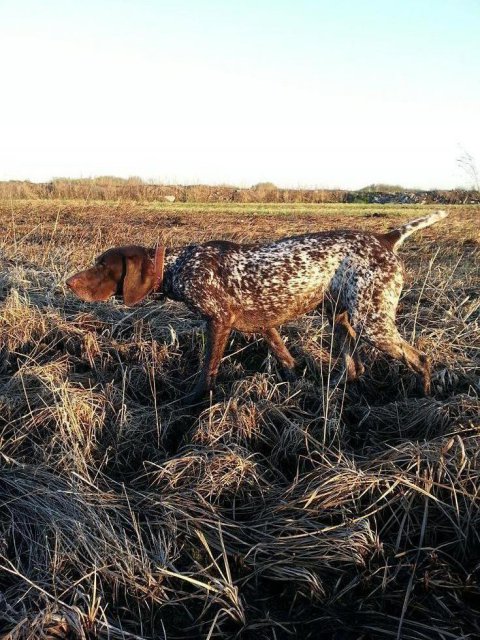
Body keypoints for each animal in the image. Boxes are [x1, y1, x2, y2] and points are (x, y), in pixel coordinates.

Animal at [65, 210, 448, 400]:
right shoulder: (265, 325)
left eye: (102, 265)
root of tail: (385, 238)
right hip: (341, 316)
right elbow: (285, 356)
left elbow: (207, 369)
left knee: (421, 359)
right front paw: (296, 380)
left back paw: (424, 398)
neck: (179, 265)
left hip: (373, 322)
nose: (69, 282)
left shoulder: (219, 322)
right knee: (353, 363)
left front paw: (193, 402)